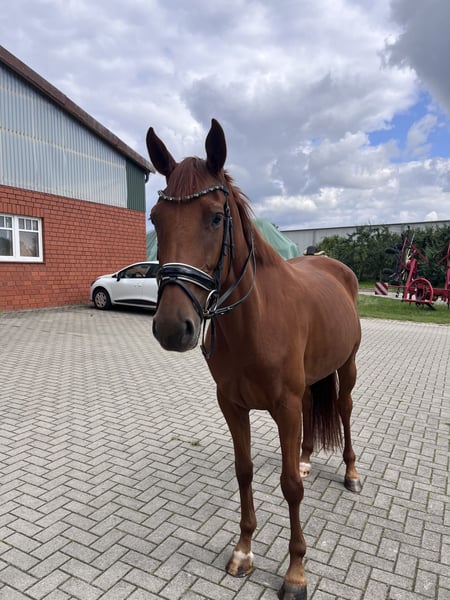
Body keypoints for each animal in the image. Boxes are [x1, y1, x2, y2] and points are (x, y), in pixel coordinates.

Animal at [146, 119, 362, 600]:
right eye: (155, 218)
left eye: (215, 216)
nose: (172, 328)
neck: (256, 320)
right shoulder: (233, 405)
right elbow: (243, 472)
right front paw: (243, 550)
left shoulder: (283, 407)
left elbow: (291, 487)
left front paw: (295, 572)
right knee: (313, 409)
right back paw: (306, 455)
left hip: (348, 367)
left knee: (344, 409)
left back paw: (352, 473)